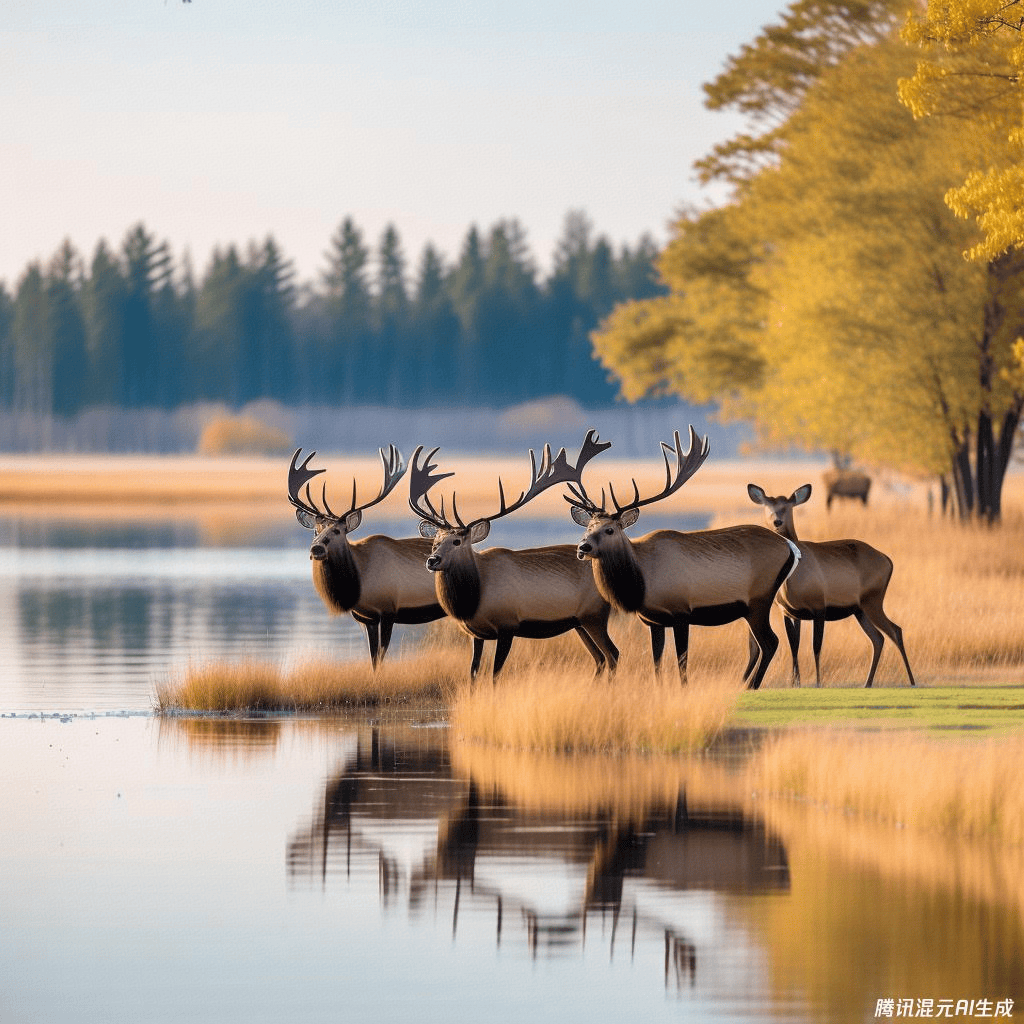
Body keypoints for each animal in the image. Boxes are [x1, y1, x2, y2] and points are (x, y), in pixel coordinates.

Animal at [290, 444, 446, 667]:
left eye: (338, 531)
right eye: (315, 530)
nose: (316, 549)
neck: (358, 586)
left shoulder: (389, 609)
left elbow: (381, 655)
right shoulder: (365, 618)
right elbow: (373, 658)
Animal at [405, 430, 614, 679]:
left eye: (457, 541)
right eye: (435, 542)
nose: (432, 560)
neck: (472, 603)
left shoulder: (508, 625)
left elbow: (495, 673)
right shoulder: (475, 634)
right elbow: (473, 672)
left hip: (594, 614)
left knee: (612, 655)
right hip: (578, 622)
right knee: (600, 659)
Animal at [569, 423, 798, 688]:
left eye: (610, 529)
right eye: (587, 527)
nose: (583, 547)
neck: (641, 585)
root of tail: (791, 548)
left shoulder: (681, 612)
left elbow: (682, 662)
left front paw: (683, 688)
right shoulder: (653, 620)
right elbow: (657, 662)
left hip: (759, 599)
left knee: (770, 642)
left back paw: (750, 686)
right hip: (753, 605)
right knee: (757, 645)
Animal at [741, 479, 917, 688]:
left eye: (787, 506)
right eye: (768, 506)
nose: (777, 522)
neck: (792, 582)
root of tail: (888, 560)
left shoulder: (819, 605)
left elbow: (816, 646)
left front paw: (818, 682)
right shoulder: (789, 612)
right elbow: (794, 646)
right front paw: (795, 683)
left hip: (873, 600)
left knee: (895, 631)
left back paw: (911, 681)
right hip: (860, 609)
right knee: (878, 638)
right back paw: (868, 683)